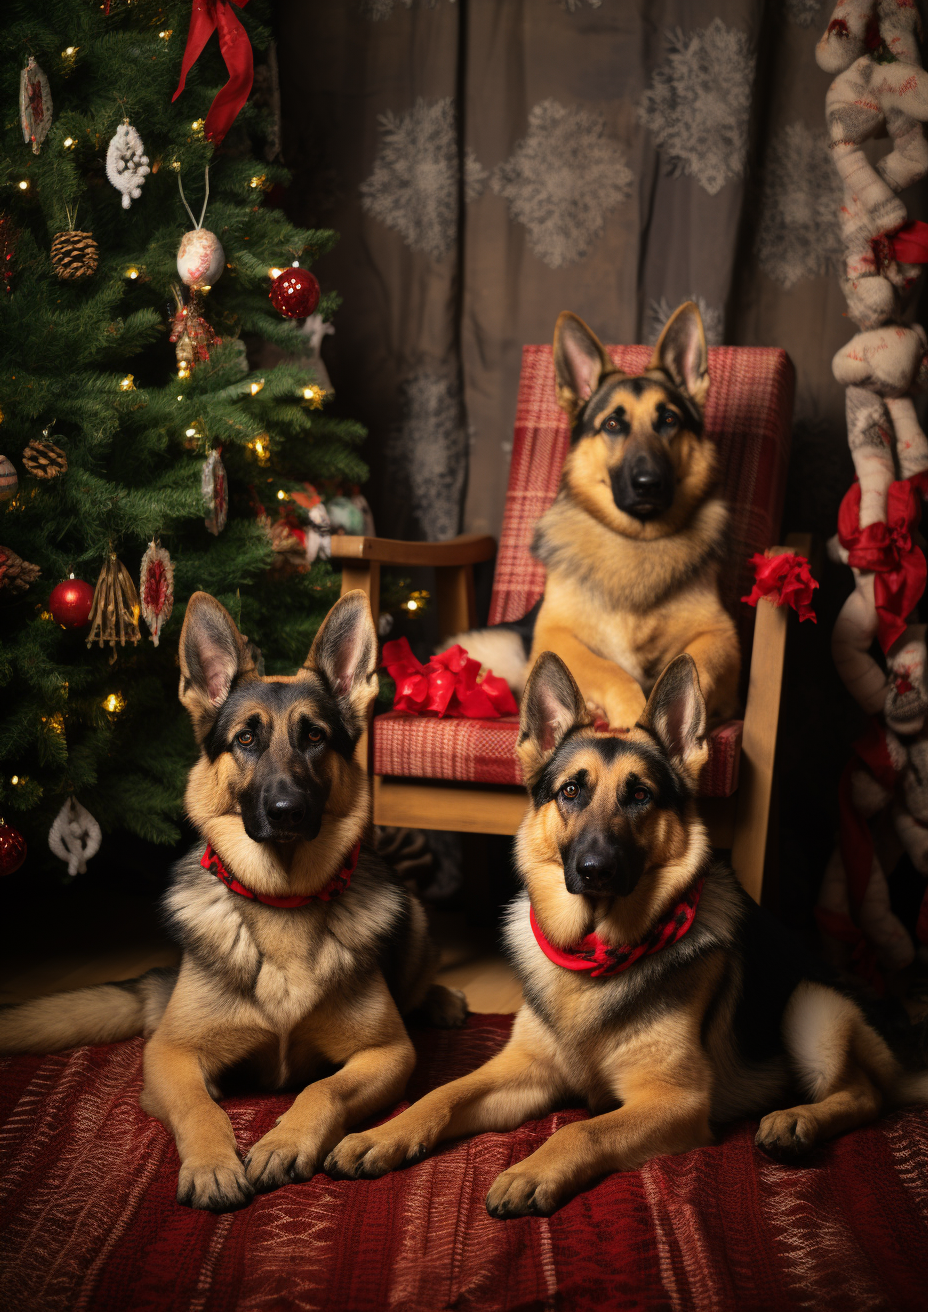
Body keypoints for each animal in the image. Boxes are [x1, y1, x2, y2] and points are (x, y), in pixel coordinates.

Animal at [0, 590, 464, 1212]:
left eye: (315, 737)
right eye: (246, 739)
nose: (287, 811)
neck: (282, 901)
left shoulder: (387, 1052)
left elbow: (322, 1089)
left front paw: (283, 1142)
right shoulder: (169, 1055)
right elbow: (200, 1105)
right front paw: (213, 1165)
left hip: (412, 917)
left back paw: (442, 1000)